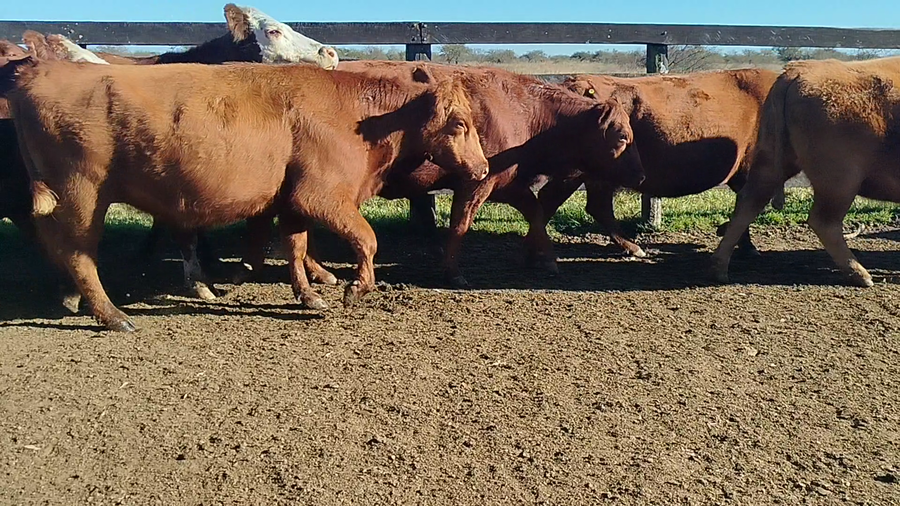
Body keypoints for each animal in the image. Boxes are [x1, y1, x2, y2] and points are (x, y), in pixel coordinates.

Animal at [8, 58, 489, 332]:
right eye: (459, 123)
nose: (483, 167)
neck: (361, 117)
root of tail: (36, 74)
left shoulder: (294, 203)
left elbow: (296, 249)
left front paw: (309, 295)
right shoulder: (323, 197)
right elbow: (367, 240)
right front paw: (355, 289)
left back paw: (74, 299)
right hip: (83, 195)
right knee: (79, 254)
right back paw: (112, 316)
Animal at [225, 60, 644, 288]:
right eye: (623, 136)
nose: (641, 177)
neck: (522, 108)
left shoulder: (506, 182)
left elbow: (536, 212)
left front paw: (545, 258)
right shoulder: (477, 183)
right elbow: (460, 225)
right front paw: (453, 272)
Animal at [711, 56, 900, 287]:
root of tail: (797, 71)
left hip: (770, 162)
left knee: (748, 203)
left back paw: (719, 269)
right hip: (840, 181)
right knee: (823, 221)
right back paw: (860, 275)